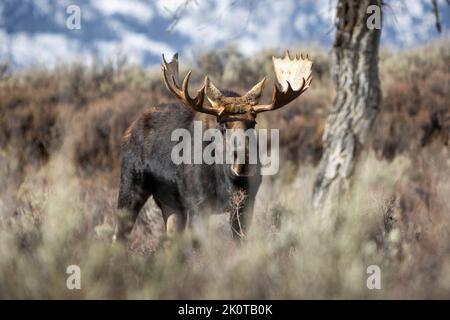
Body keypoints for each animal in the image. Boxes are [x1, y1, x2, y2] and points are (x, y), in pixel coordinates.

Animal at [115, 50, 312, 242]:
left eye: (253, 123)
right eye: (222, 124)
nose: (242, 162)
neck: (226, 179)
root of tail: (129, 130)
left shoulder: (246, 204)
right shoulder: (198, 205)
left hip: (170, 203)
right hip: (131, 188)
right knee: (118, 236)